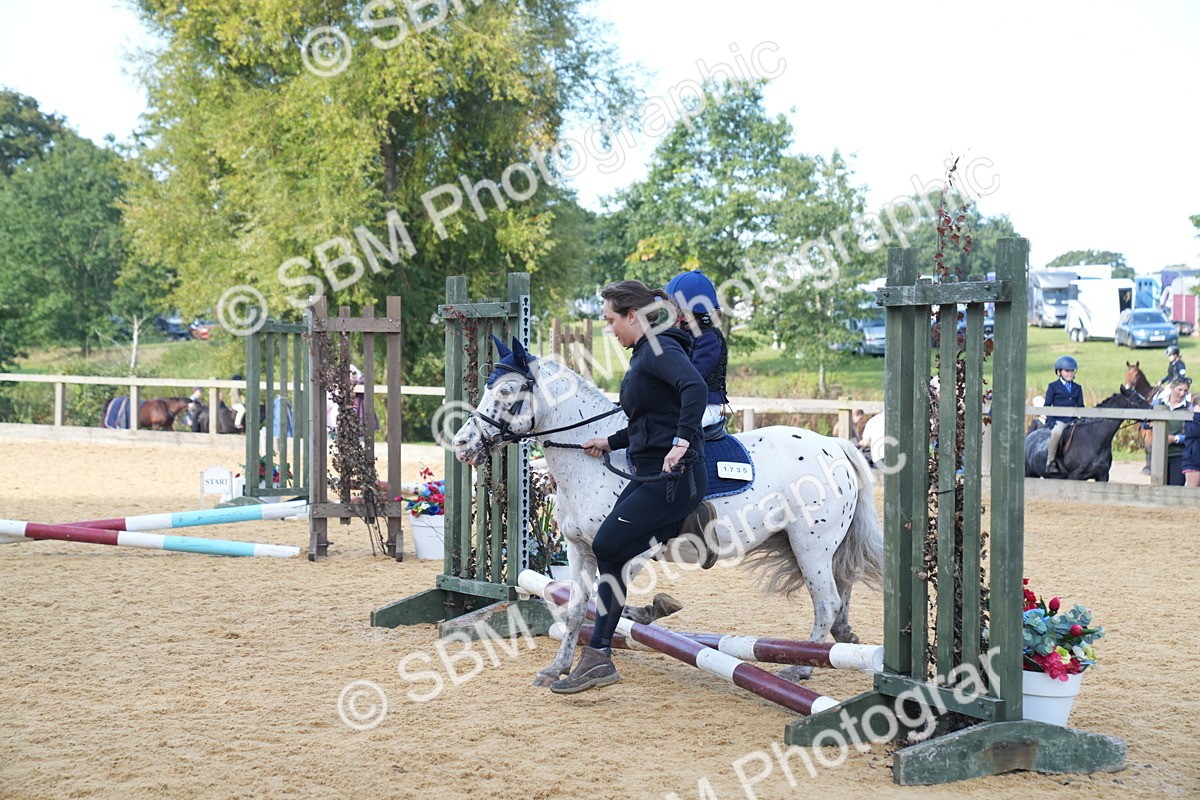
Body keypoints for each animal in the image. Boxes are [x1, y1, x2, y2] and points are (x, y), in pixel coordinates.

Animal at [451, 338, 884, 687]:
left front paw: (636, 625)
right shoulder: (578, 549)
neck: (596, 462)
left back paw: (802, 667)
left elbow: (611, 603)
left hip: (810, 545)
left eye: (507, 391)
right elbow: (576, 610)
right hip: (808, 546)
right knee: (842, 587)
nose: (461, 445)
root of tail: (834, 444)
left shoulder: (630, 549)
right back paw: (842, 639)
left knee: (826, 602)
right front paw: (557, 667)